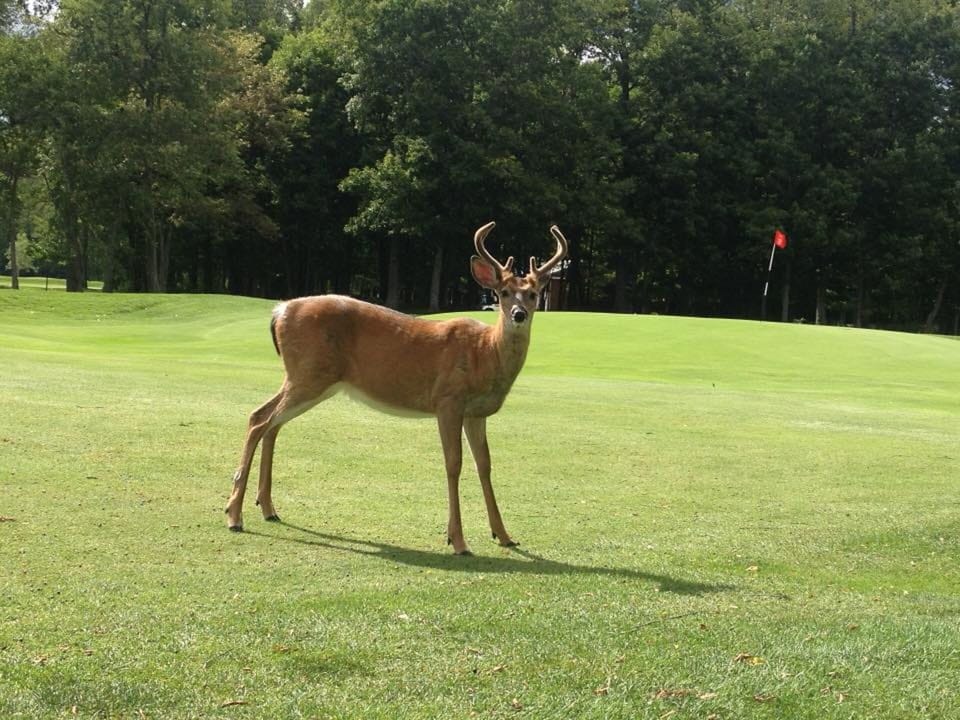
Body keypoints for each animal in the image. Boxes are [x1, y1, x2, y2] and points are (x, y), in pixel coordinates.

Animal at [224, 221, 568, 555]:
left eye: (534, 293)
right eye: (504, 292)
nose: (519, 314)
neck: (486, 353)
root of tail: (279, 311)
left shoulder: (476, 413)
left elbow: (485, 465)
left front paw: (504, 535)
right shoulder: (448, 400)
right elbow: (453, 463)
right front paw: (457, 540)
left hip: (308, 378)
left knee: (269, 422)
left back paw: (267, 508)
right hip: (308, 375)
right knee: (259, 420)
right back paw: (234, 514)